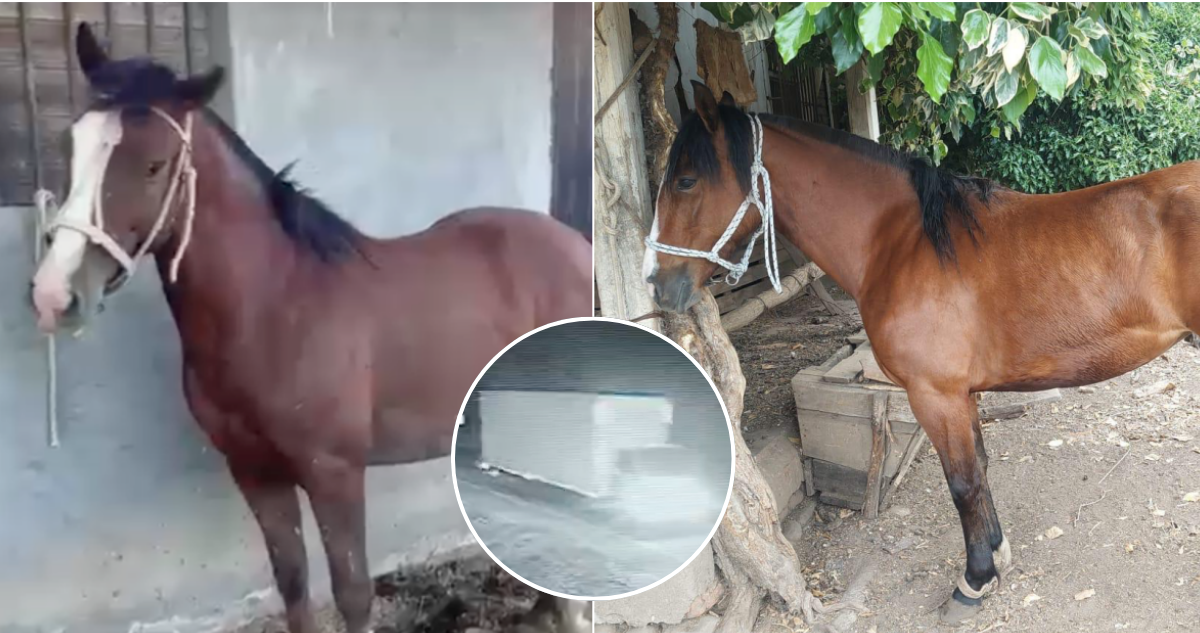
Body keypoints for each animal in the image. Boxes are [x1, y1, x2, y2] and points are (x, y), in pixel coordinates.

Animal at [29, 24, 592, 633]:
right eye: (69, 147)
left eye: (155, 164)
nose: (55, 294)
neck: (277, 307)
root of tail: (576, 247)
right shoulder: (255, 472)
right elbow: (293, 582)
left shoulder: (334, 473)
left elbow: (351, 591)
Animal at [644, 80, 1200, 623]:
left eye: (686, 181)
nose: (657, 285)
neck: (903, 243)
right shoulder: (962, 395)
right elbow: (981, 468)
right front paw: (997, 558)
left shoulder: (936, 395)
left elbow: (963, 485)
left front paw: (973, 583)